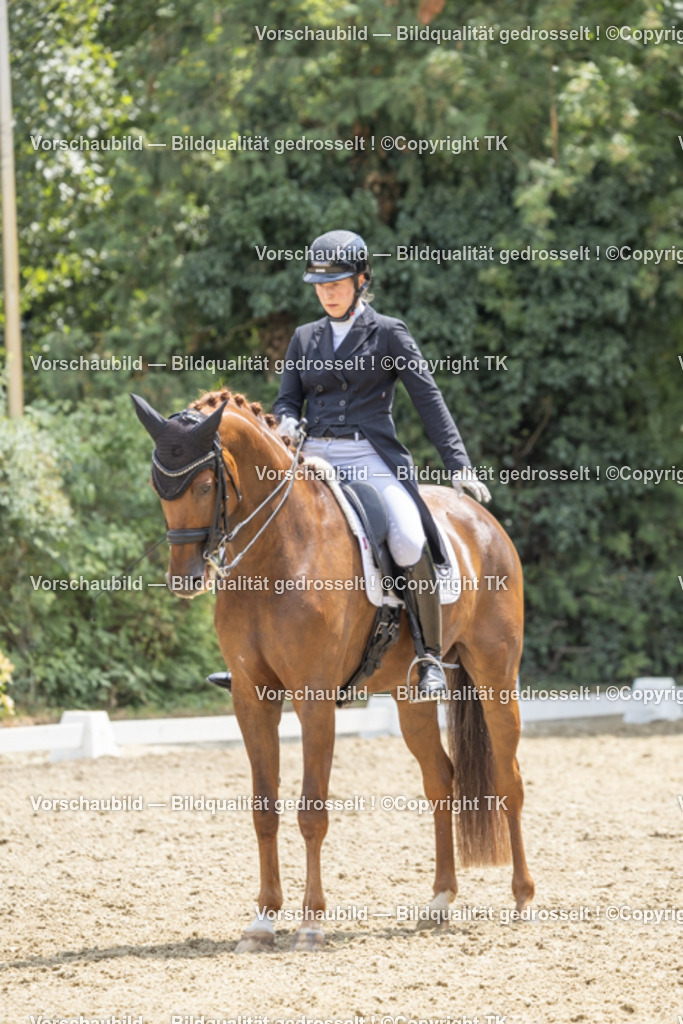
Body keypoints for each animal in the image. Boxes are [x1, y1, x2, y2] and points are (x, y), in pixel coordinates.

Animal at [132, 386, 534, 952]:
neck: (277, 551)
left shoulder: (314, 698)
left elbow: (311, 811)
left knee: (508, 776)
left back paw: (522, 897)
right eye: (158, 486)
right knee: (441, 779)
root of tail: (478, 518)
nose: (184, 579)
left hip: (496, 675)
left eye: (207, 483)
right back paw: (439, 901)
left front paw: (311, 922)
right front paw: (262, 921)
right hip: (410, 698)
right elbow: (264, 810)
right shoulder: (251, 698)